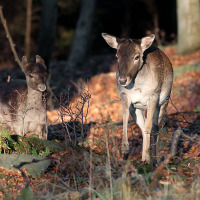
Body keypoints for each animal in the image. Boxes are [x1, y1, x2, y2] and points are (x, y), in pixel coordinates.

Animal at [102, 32, 173, 163]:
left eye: (136, 57)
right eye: (117, 56)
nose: (122, 80)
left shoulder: (153, 95)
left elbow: (150, 127)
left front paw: (149, 156)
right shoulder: (124, 95)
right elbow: (124, 117)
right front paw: (124, 150)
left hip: (165, 100)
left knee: (156, 127)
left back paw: (153, 159)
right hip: (137, 108)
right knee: (143, 126)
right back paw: (145, 158)